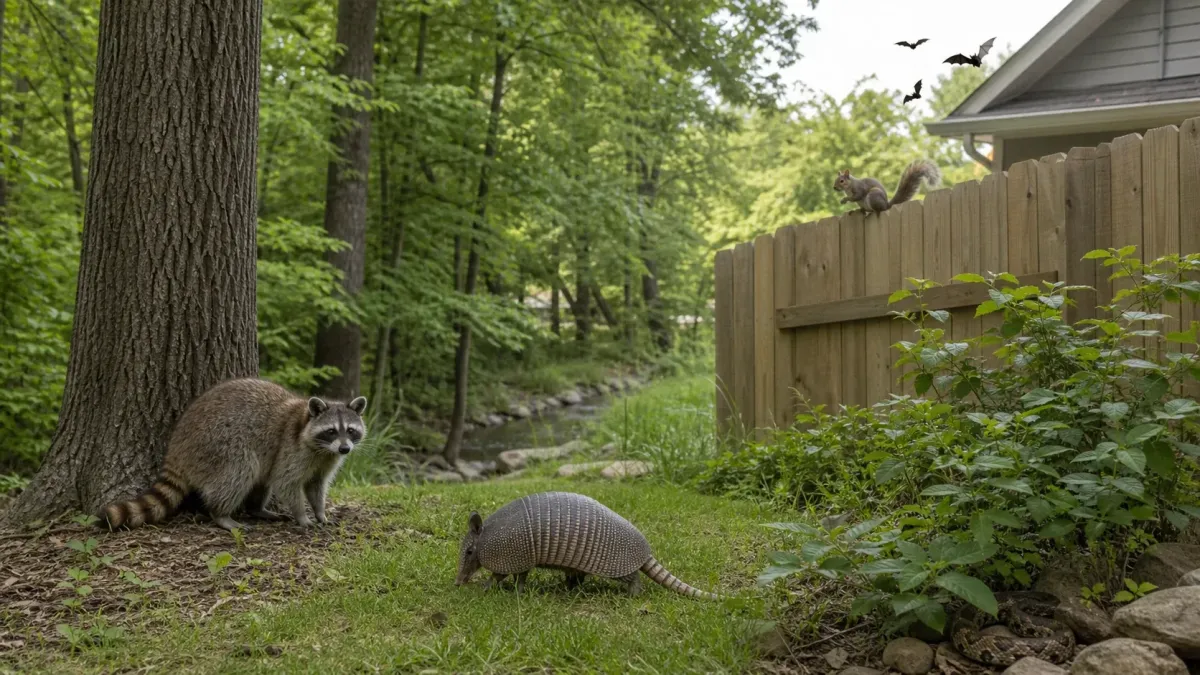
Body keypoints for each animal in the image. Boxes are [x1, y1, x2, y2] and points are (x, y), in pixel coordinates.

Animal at [99, 378, 367, 531]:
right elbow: (286, 482)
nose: (345, 449)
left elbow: (316, 485)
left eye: (350, 431)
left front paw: (320, 512)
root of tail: (178, 444)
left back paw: (256, 508)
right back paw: (221, 514)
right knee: (240, 471)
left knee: (260, 479)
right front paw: (301, 515)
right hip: (218, 445)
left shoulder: (325, 460)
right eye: (331, 431)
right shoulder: (292, 449)